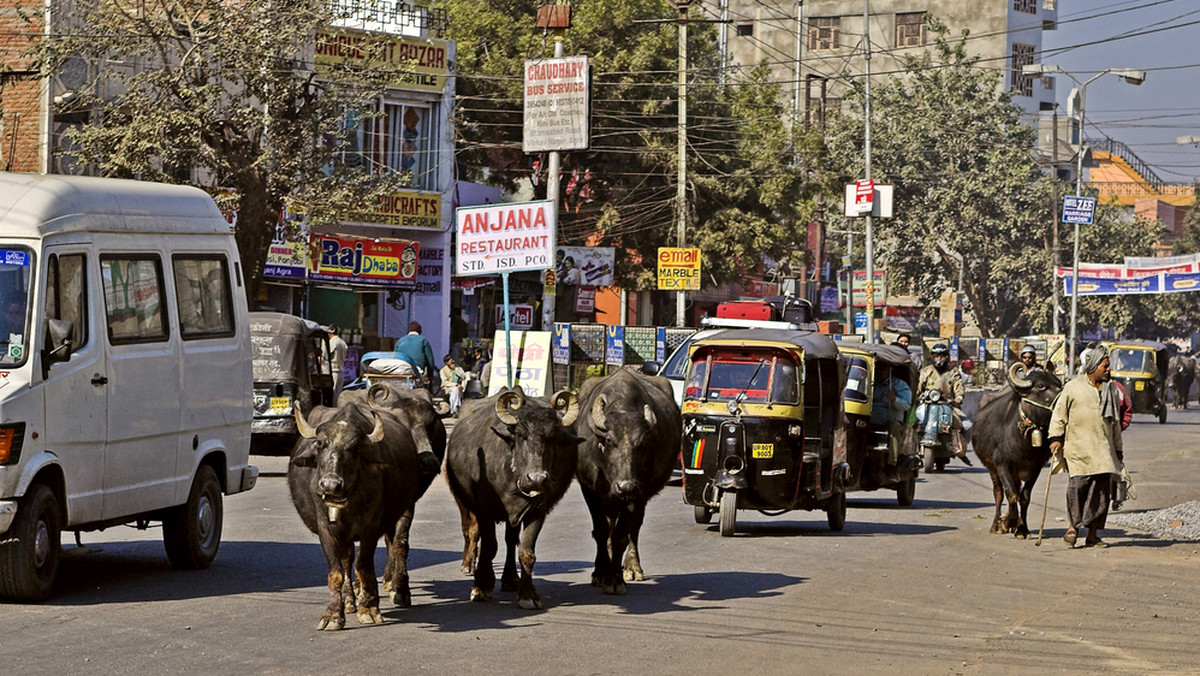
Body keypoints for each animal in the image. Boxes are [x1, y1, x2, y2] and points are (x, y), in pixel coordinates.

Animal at [288, 401, 444, 629]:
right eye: (320, 444)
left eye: (354, 448)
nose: (331, 485)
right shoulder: (325, 527)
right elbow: (336, 571)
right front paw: (333, 614)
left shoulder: (371, 527)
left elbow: (364, 565)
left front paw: (369, 608)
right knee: (347, 559)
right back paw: (349, 599)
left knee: (394, 545)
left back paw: (395, 590)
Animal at [448, 389, 583, 609]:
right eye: (520, 435)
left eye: (552, 437)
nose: (536, 479)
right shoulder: (484, 509)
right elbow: (489, 546)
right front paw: (481, 586)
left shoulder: (538, 511)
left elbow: (526, 552)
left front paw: (528, 594)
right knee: (475, 532)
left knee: (511, 540)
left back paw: (511, 578)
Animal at [573, 367, 681, 595]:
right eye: (608, 441)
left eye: (641, 444)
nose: (625, 486)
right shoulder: (590, 490)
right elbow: (601, 530)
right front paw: (600, 573)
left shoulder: (638, 492)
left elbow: (622, 534)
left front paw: (615, 578)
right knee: (609, 524)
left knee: (634, 528)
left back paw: (632, 568)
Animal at [974, 365, 1060, 540]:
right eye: (1041, 386)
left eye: (1059, 384)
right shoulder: (1002, 465)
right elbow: (1011, 493)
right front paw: (1008, 521)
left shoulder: (1035, 468)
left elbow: (1024, 497)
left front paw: (1022, 529)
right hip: (991, 468)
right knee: (998, 493)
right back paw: (996, 525)